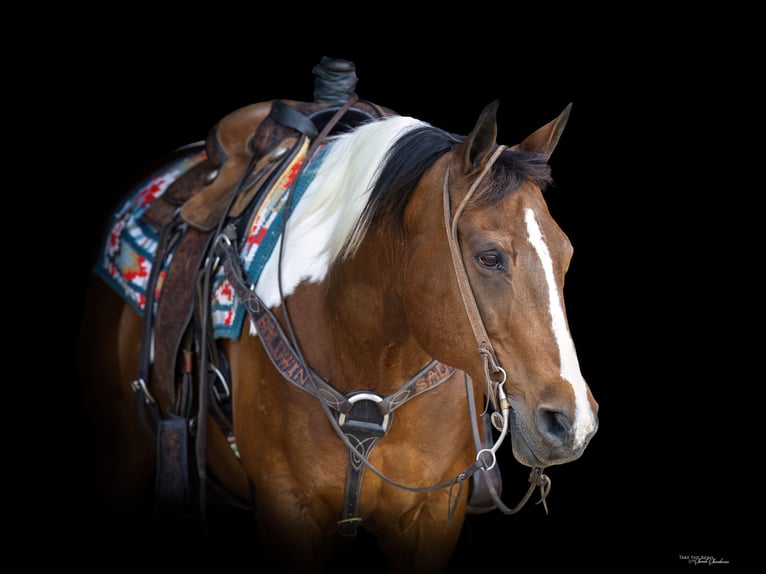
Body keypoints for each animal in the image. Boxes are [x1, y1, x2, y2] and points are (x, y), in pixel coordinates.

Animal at [77, 60, 598, 573]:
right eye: (490, 257)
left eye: (567, 255)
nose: (572, 422)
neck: (370, 355)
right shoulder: (289, 510)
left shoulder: (429, 517)